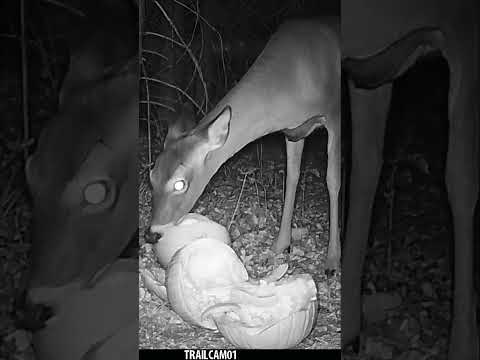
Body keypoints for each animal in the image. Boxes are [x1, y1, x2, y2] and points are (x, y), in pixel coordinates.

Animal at [150, 16, 342, 270]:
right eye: (151, 176)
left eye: (180, 183)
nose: (152, 233)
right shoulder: (294, 131)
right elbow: (292, 176)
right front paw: (280, 246)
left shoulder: (334, 115)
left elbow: (333, 180)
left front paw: (332, 259)